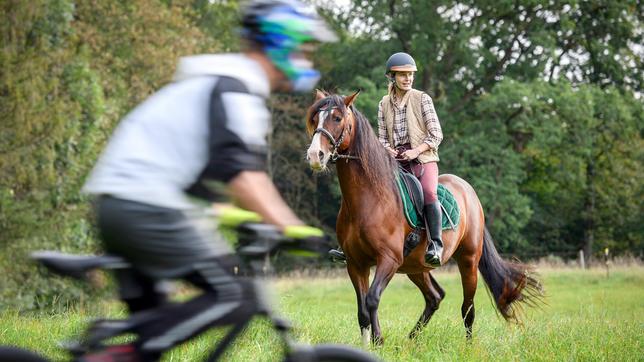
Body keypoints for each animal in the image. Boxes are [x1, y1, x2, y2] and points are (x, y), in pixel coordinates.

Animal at [304, 90, 540, 346]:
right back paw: (411, 339)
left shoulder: (388, 259)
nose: (315, 156)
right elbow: (362, 310)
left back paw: (468, 346)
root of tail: (468, 191)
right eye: (315, 118)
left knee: (467, 308)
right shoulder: (356, 264)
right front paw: (369, 344)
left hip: (468, 260)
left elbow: (372, 299)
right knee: (435, 296)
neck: (368, 199)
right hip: (416, 267)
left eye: (337, 118)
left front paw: (379, 342)